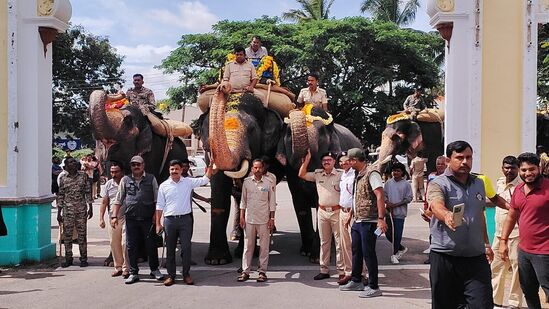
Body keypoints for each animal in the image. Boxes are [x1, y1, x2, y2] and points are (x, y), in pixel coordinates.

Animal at [194, 90, 286, 264]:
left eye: (251, 129)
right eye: (209, 131)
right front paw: (217, 260)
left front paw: (249, 253)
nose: (223, 88)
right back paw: (235, 235)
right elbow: (220, 195)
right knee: (237, 198)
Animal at [276, 106, 362, 258]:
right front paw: (305, 251)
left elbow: (319, 203)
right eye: (288, 133)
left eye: (321, 132)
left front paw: (315, 257)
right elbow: (300, 203)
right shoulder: (291, 174)